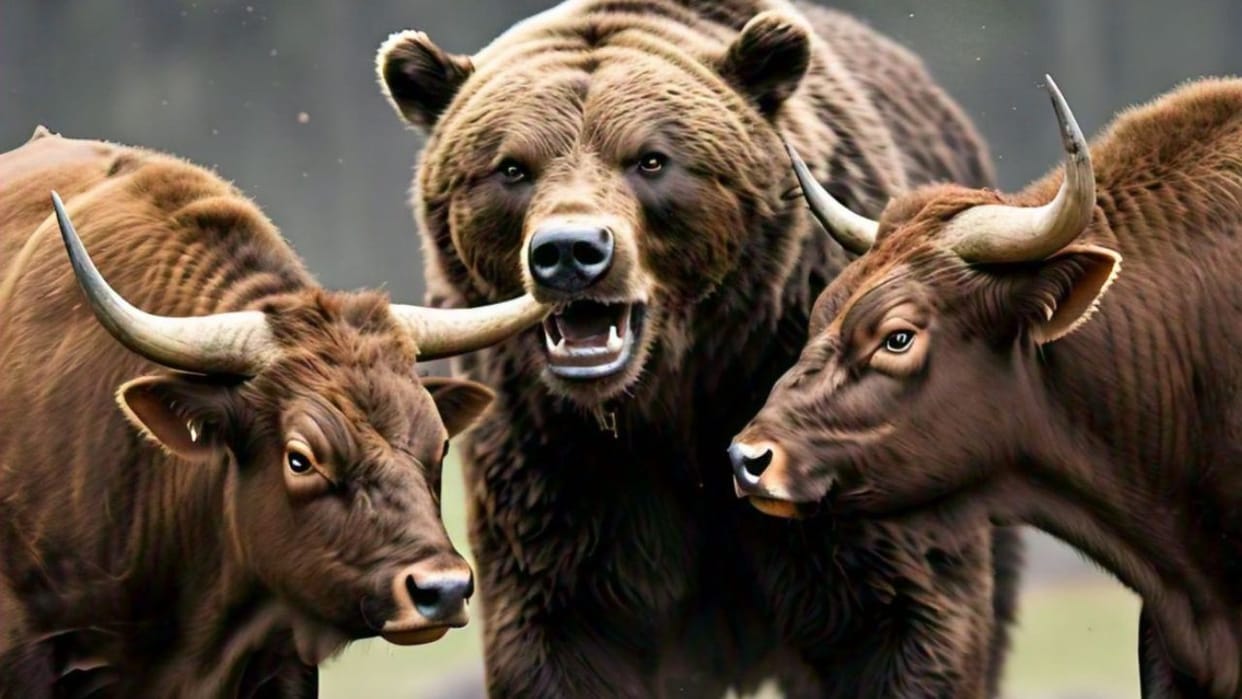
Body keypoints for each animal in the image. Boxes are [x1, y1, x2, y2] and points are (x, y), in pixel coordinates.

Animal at [377, 0, 1022, 696]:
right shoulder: (558, 468)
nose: (571, 251)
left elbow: (902, 614)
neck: (674, 394)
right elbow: (562, 635)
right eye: (512, 167)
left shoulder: (845, 426)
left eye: (650, 159)